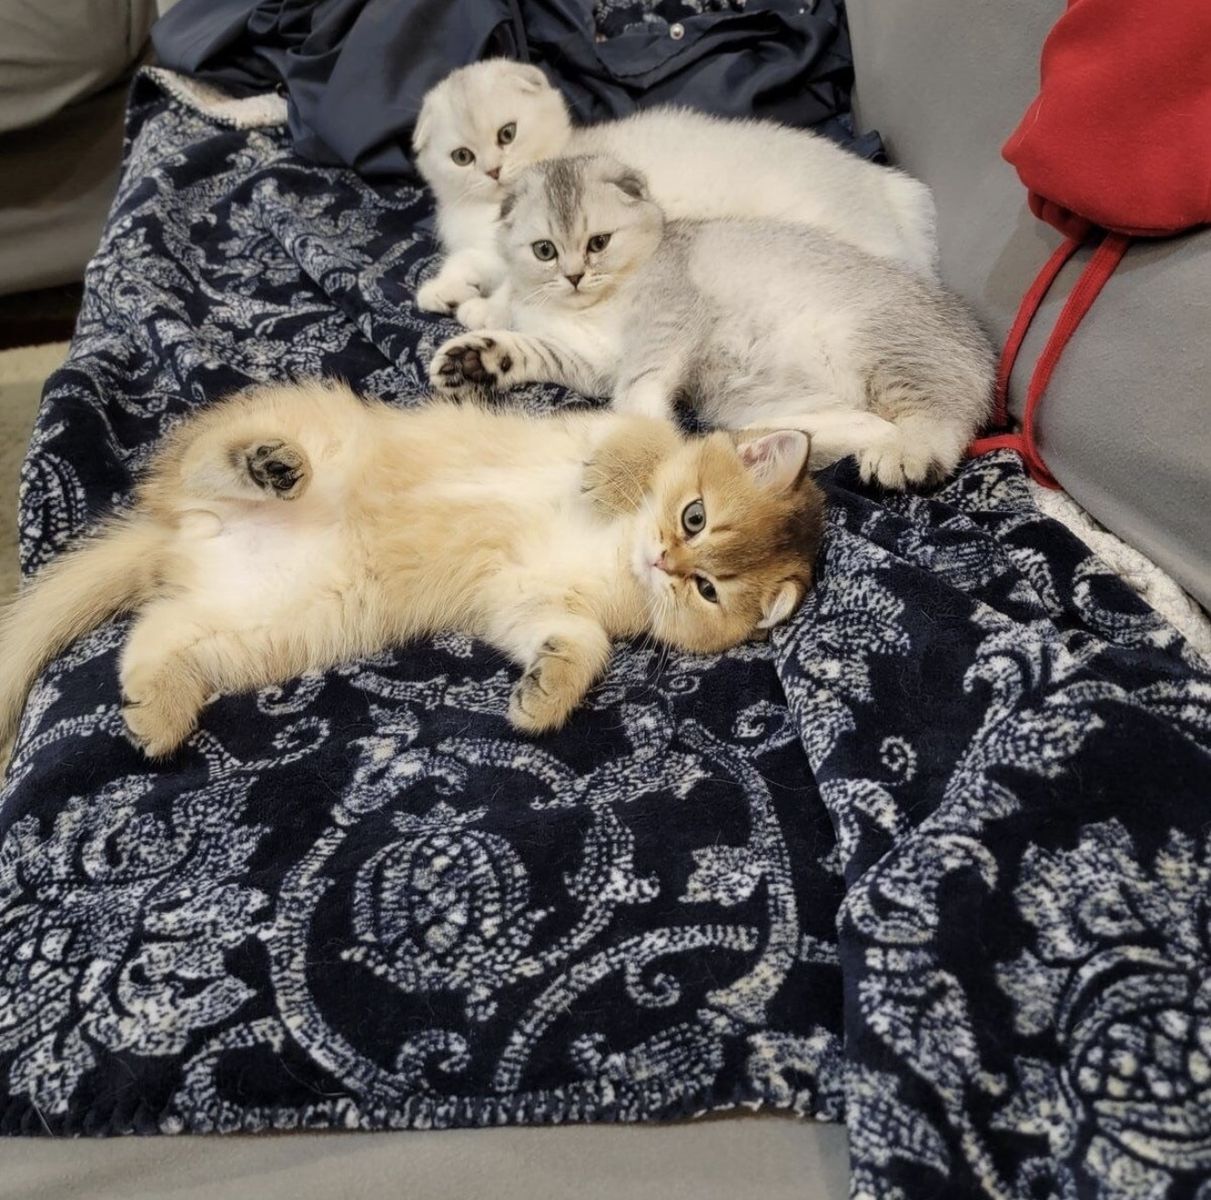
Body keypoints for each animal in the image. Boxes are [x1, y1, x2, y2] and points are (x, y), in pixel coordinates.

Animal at [0, 380, 824, 759]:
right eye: (694, 517)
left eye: (707, 589)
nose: (665, 559)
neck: (617, 553)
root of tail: (176, 538)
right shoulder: (595, 423)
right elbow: (641, 438)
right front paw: (606, 480)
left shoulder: (527, 598)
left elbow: (579, 642)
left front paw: (544, 694)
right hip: (296, 429)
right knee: (204, 458)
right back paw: (267, 466)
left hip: (264, 624)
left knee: (152, 637)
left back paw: (158, 716)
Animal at [412, 59, 938, 321]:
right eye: (462, 157)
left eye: (507, 133)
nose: (494, 171)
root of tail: (879, 183)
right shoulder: (496, 250)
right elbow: (466, 261)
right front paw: (441, 291)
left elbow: (514, 294)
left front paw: (478, 312)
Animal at [429, 155, 995, 489]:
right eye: (544, 250)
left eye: (598, 242)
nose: (573, 276)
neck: (595, 305)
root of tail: (976, 340)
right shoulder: (589, 361)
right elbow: (538, 350)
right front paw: (475, 358)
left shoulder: (671, 311)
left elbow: (638, 383)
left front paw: (641, 429)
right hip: (759, 399)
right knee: (857, 425)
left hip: (878, 343)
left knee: (943, 410)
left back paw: (908, 453)